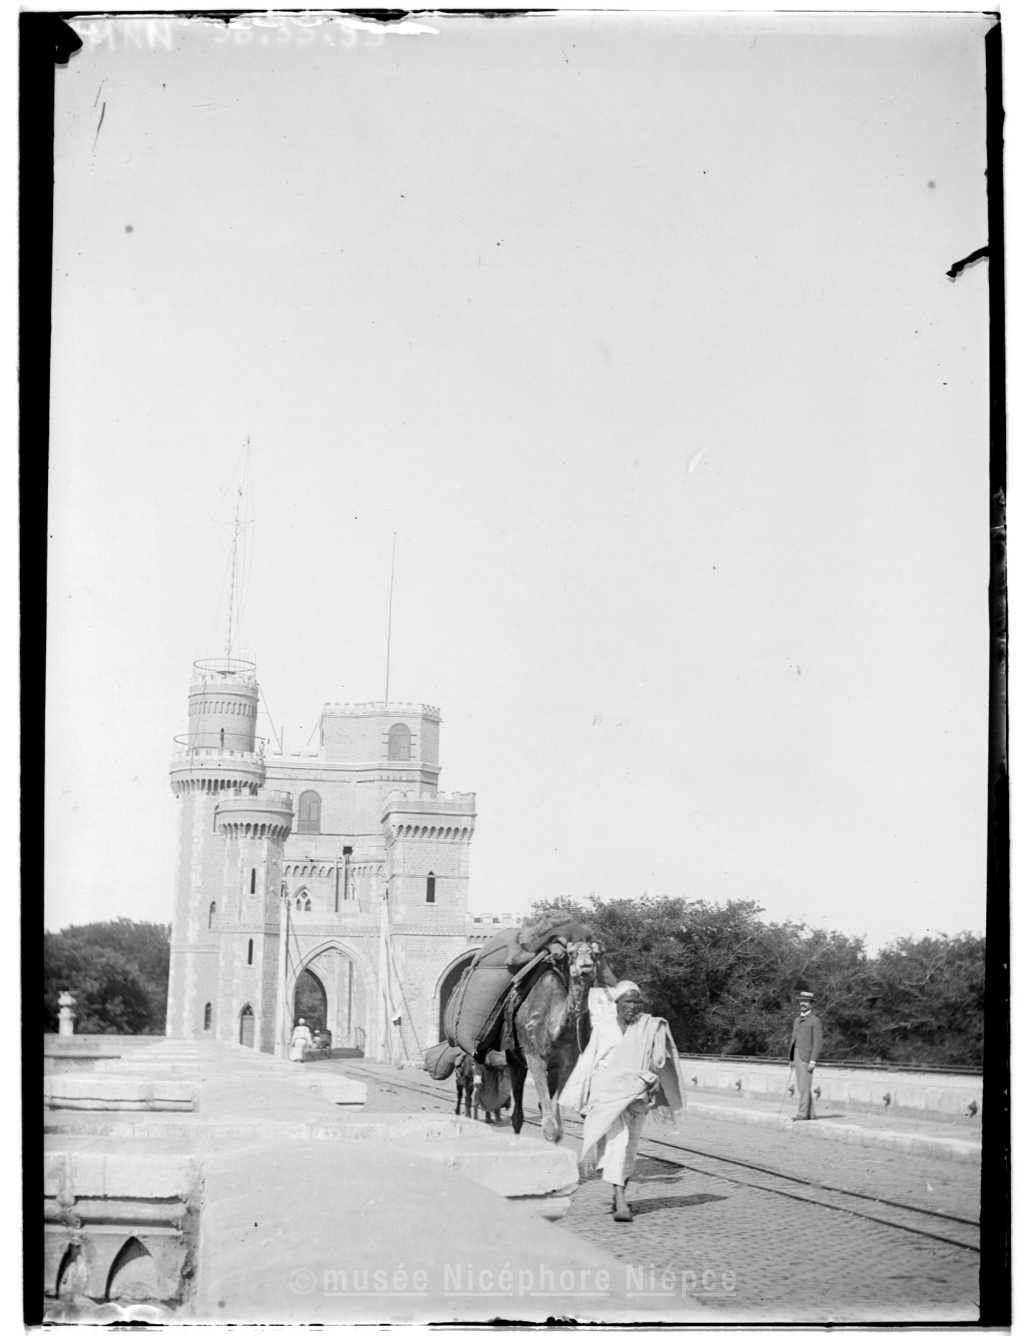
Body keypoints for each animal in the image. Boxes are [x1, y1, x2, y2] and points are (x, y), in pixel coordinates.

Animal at [506, 938, 606, 1143]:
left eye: (594, 954)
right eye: (572, 954)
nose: (585, 965)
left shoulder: (567, 1065)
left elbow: (558, 1127)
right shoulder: (534, 1057)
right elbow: (550, 1124)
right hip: (513, 1058)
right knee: (517, 1115)